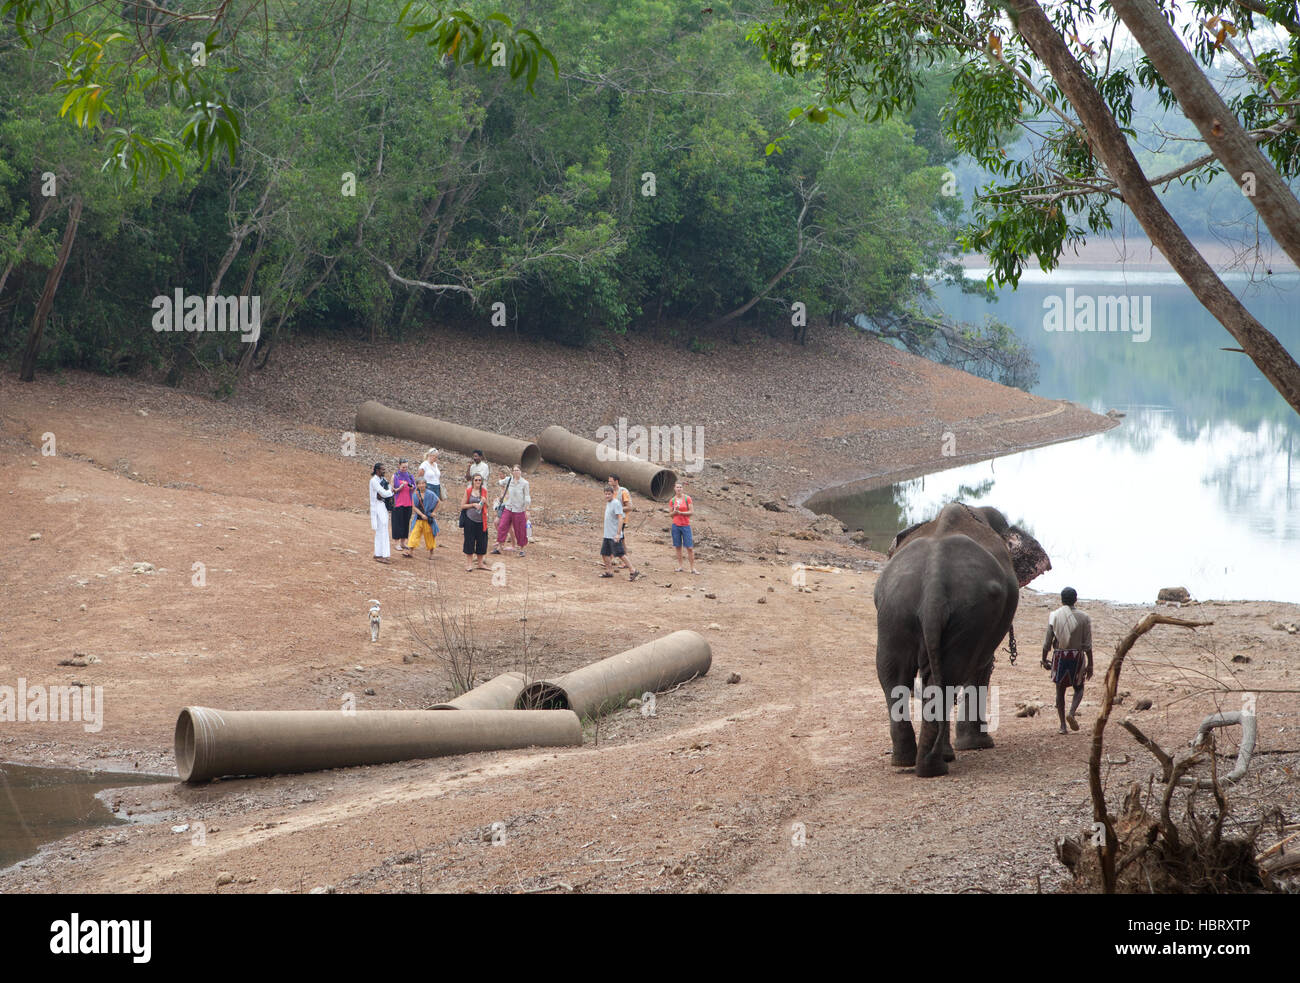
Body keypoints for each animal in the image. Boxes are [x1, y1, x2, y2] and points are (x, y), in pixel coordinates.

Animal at [868, 507, 1050, 774]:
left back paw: (907, 761)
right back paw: (934, 765)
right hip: (967, 612)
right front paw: (979, 745)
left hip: (896, 609)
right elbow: (983, 666)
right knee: (949, 676)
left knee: (894, 674)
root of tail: (933, 585)